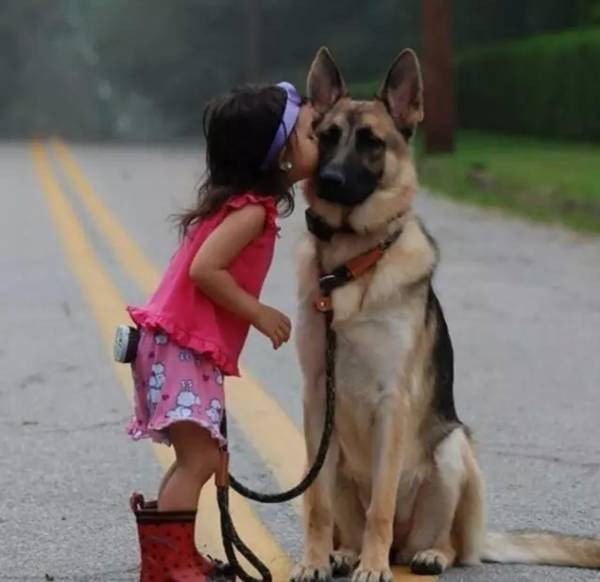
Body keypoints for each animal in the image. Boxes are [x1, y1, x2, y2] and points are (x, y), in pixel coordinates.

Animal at [292, 46, 600, 582]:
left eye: (371, 143)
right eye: (326, 137)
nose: (328, 182)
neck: (351, 264)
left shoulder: (391, 401)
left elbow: (381, 505)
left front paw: (373, 567)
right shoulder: (315, 399)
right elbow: (316, 504)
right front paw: (315, 560)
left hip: (454, 450)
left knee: (447, 543)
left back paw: (422, 555)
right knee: (346, 519)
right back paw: (343, 553)